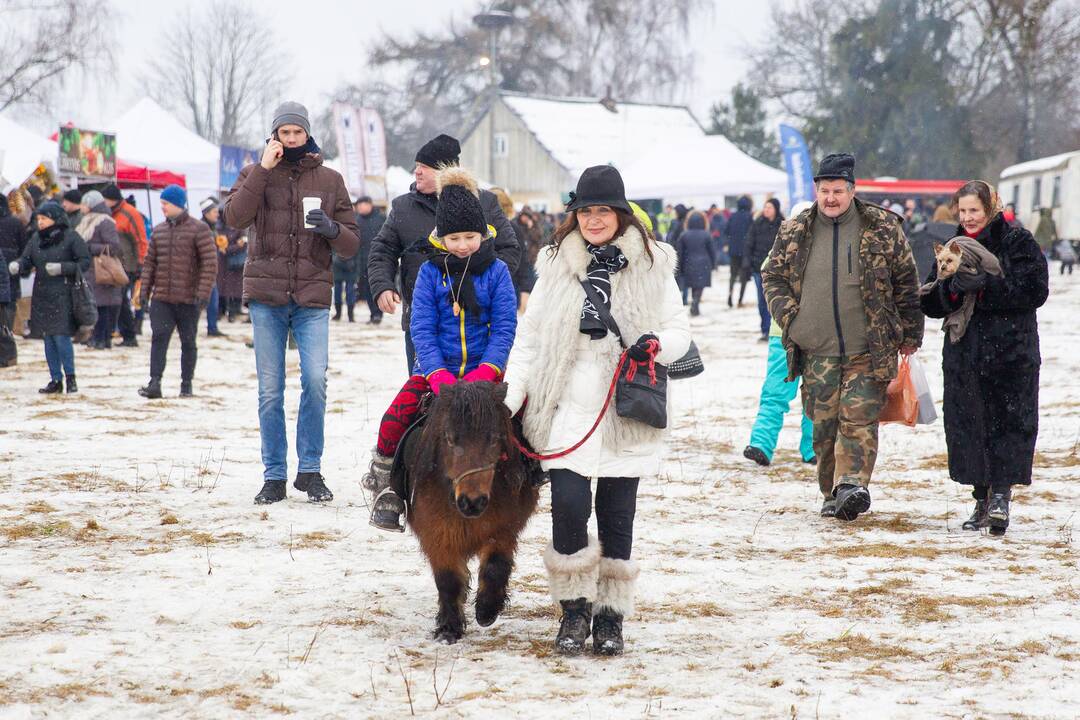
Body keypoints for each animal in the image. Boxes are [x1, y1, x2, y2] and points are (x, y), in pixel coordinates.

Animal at [403, 379, 537, 643]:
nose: (472, 502)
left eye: (495, 439)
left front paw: (486, 610)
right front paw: (448, 629)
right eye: (449, 438)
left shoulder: (504, 529)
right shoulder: (437, 534)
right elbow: (448, 580)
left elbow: (495, 567)